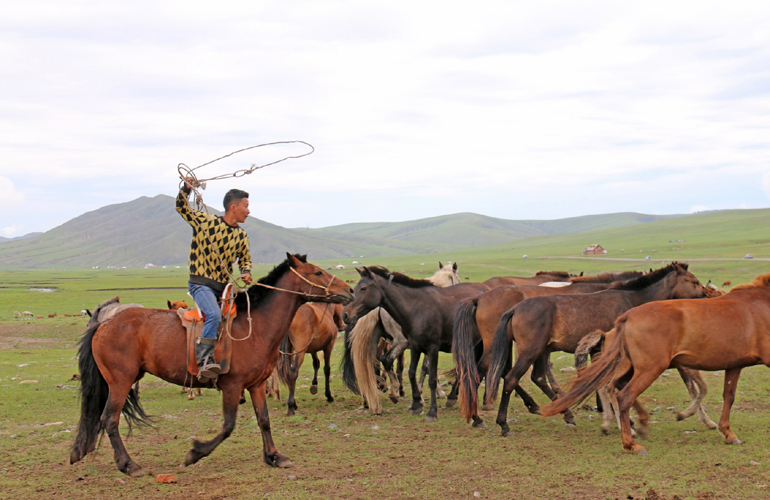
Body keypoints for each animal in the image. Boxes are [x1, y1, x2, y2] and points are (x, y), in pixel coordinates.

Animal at [69, 254, 352, 476]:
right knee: (110, 419)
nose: (349, 291)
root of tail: (103, 325)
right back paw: (129, 465)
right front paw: (195, 453)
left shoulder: (256, 384)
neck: (256, 326)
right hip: (120, 381)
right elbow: (228, 426)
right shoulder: (232, 386)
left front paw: (274, 456)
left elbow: (264, 420)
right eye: (318, 272)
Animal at [486, 264, 704, 436]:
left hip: (542, 351)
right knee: (511, 379)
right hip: (530, 351)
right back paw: (504, 424)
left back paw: (566, 414)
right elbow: (615, 385)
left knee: (538, 378)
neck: (631, 300)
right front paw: (625, 421)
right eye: (693, 281)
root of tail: (515, 309)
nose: (705, 295)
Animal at [544, 272, 768, 456]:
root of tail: (625, 318)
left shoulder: (733, 365)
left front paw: (727, 433)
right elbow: (701, 390)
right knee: (622, 394)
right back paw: (631, 442)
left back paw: (634, 425)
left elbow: (726, 396)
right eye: (695, 283)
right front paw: (693, 417)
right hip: (649, 368)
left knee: (614, 387)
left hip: (633, 368)